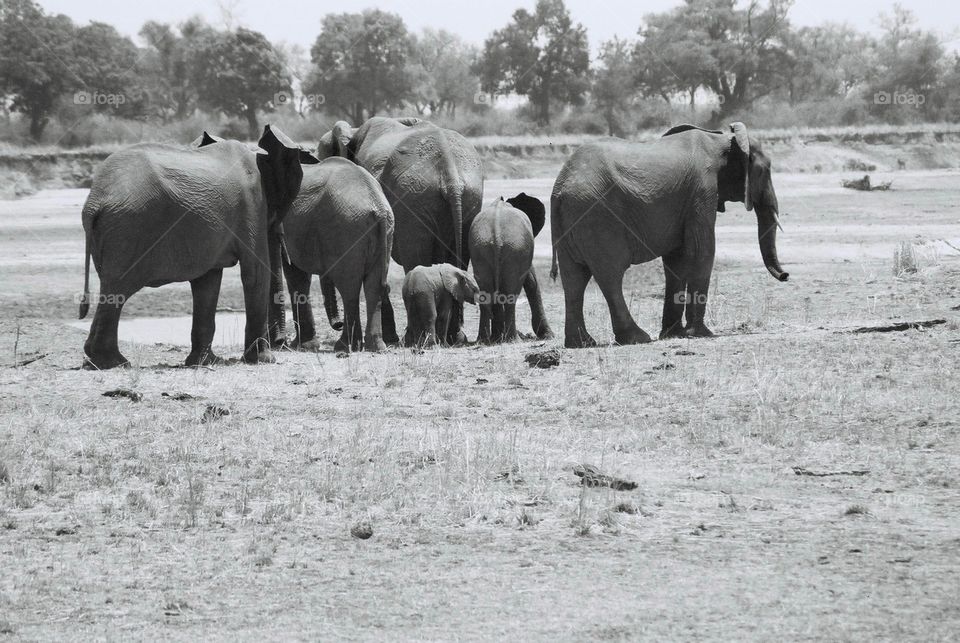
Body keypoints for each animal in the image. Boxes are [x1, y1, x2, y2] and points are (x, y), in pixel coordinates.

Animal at [79, 126, 316, 370]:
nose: (281, 344)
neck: (259, 152)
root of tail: (94, 201)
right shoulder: (253, 206)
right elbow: (255, 273)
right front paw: (264, 360)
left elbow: (207, 282)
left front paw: (205, 362)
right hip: (129, 229)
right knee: (117, 288)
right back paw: (114, 362)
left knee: (110, 286)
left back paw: (98, 360)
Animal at [316, 115, 484, 348]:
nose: (338, 324)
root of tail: (450, 172)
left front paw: (390, 338)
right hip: (468, 200)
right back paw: (455, 338)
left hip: (414, 199)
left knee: (415, 258)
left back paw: (413, 339)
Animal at [466, 192, 552, 344]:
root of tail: (497, 235)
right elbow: (532, 281)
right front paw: (549, 336)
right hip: (515, 249)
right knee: (511, 294)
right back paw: (513, 339)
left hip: (480, 250)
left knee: (486, 292)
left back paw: (486, 340)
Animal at [548, 123, 788, 350]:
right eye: (764, 171)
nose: (785, 275)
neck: (721, 139)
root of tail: (559, 190)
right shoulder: (702, 190)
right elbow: (703, 250)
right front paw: (700, 334)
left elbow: (677, 259)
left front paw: (674, 334)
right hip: (598, 217)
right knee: (610, 276)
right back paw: (637, 338)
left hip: (574, 221)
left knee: (574, 279)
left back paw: (581, 343)